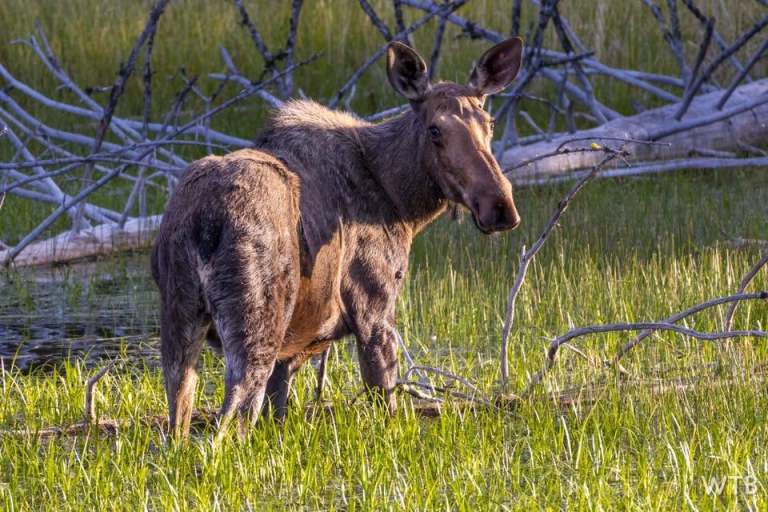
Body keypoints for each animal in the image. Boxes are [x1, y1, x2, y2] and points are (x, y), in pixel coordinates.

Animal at [151, 37, 524, 440]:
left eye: (489, 122)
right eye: (435, 130)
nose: (499, 205)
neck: (403, 204)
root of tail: (203, 222)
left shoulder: (292, 350)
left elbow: (278, 414)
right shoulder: (373, 307)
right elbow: (386, 401)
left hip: (179, 319)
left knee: (179, 421)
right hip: (255, 323)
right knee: (229, 421)